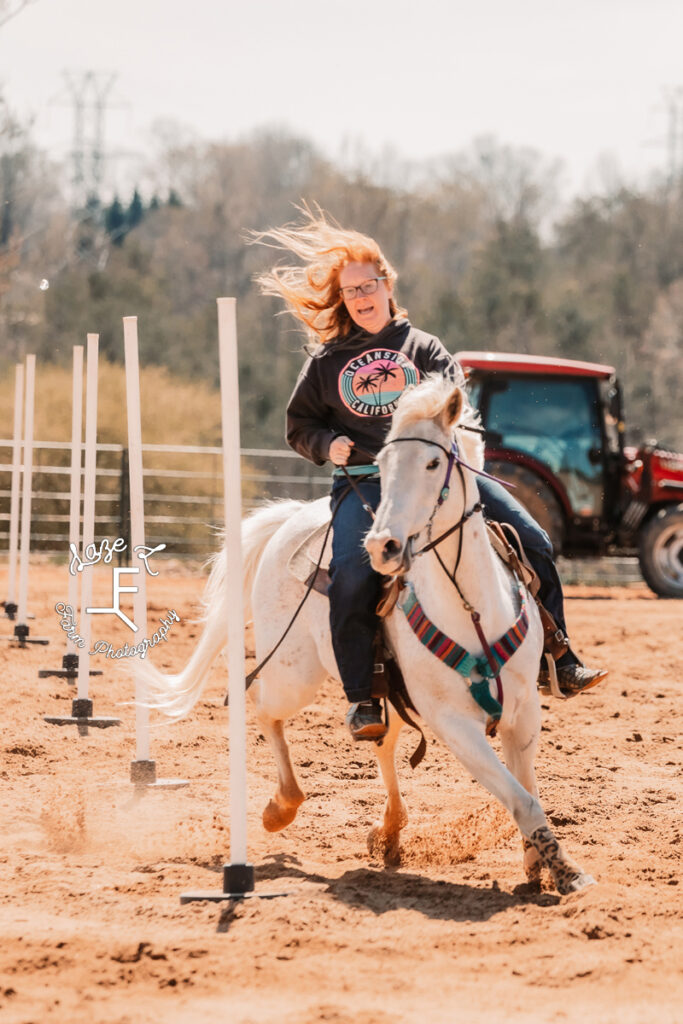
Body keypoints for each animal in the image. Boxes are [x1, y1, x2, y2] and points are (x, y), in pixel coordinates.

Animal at [137, 376, 593, 897]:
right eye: (382, 465)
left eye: (433, 462)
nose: (383, 545)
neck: (472, 607)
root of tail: (291, 517)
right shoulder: (455, 725)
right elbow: (521, 798)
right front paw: (568, 872)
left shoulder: (523, 712)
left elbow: (528, 788)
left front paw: (538, 862)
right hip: (294, 673)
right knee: (263, 707)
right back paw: (282, 806)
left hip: (380, 690)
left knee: (383, 741)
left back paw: (390, 833)